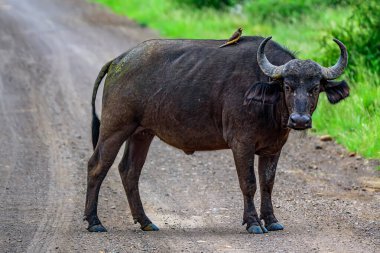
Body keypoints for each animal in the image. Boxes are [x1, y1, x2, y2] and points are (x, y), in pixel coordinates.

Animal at [84, 35, 348, 233]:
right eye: (287, 86)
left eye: (315, 88)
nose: (300, 120)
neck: (266, 101)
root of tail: (119, 60)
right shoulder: (241, 144)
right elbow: (249, 183)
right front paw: (253, 223)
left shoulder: (273, 148)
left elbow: (268, 183)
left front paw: (272, 221)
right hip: (115, 127)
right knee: (97, 166)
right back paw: (94, 222)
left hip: (142, 133)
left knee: (129, 171)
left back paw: (146, 222)